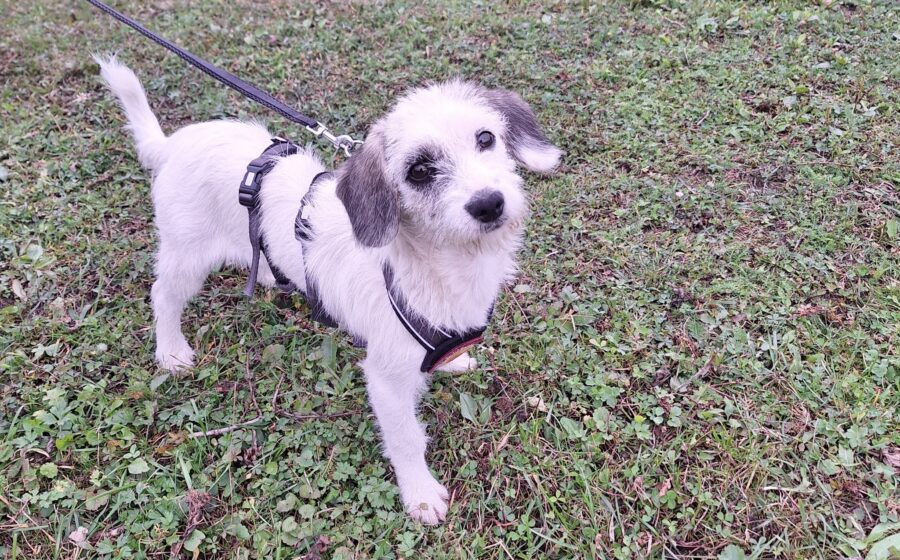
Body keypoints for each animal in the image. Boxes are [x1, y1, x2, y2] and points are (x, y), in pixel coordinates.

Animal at [95, 55, 561, 524]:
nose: (489, 203)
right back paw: (171, 350)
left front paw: (452, 362)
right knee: (163, 295)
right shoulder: (386, 379)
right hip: (186, 257)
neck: (437, 263)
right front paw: (420, 494)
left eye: (486, 138)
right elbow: (407, 438)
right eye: (419, 171)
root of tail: (173, 144)